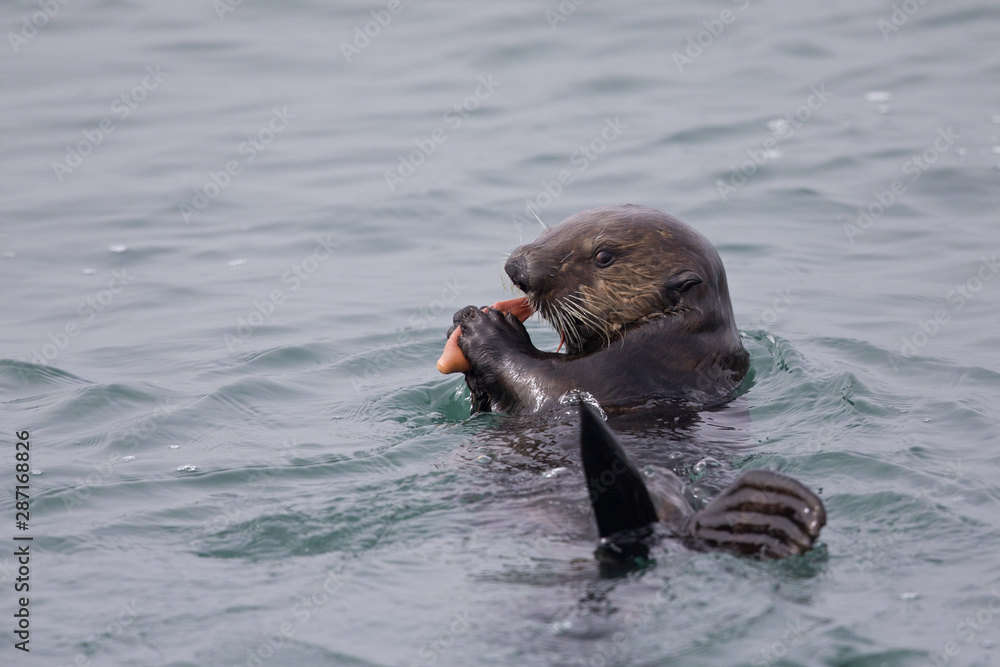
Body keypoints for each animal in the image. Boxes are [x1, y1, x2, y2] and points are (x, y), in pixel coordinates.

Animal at [446, 205, 825, 559]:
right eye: (555, 228)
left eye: (603, 256)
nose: (517, 268)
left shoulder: (638, 360)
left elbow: (546, 382)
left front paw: (483, 325)